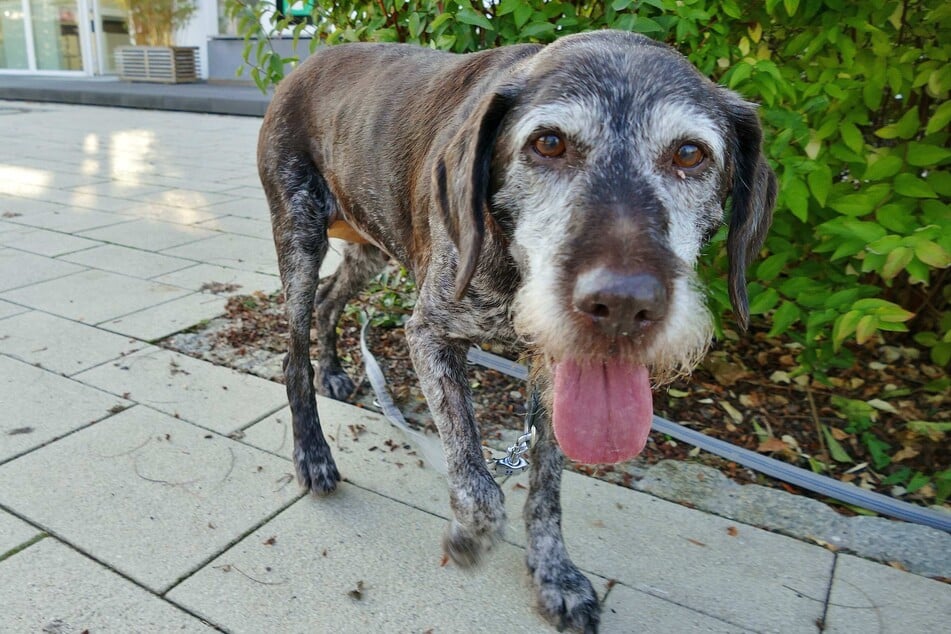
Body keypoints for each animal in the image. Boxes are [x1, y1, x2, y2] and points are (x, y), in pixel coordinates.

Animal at [258, 30, 772, 632]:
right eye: (548, 143)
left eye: (690, 154)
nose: (623, 307)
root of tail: (312, 59)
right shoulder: (430, 334)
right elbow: (474, 475)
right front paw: (469, 536)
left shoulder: (553, 373)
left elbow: (546, 486)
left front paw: (554, 575)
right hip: (299, 234)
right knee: (293, 351)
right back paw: (313, 453)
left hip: (371, 244)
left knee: (330, 298)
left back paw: (336, 371)